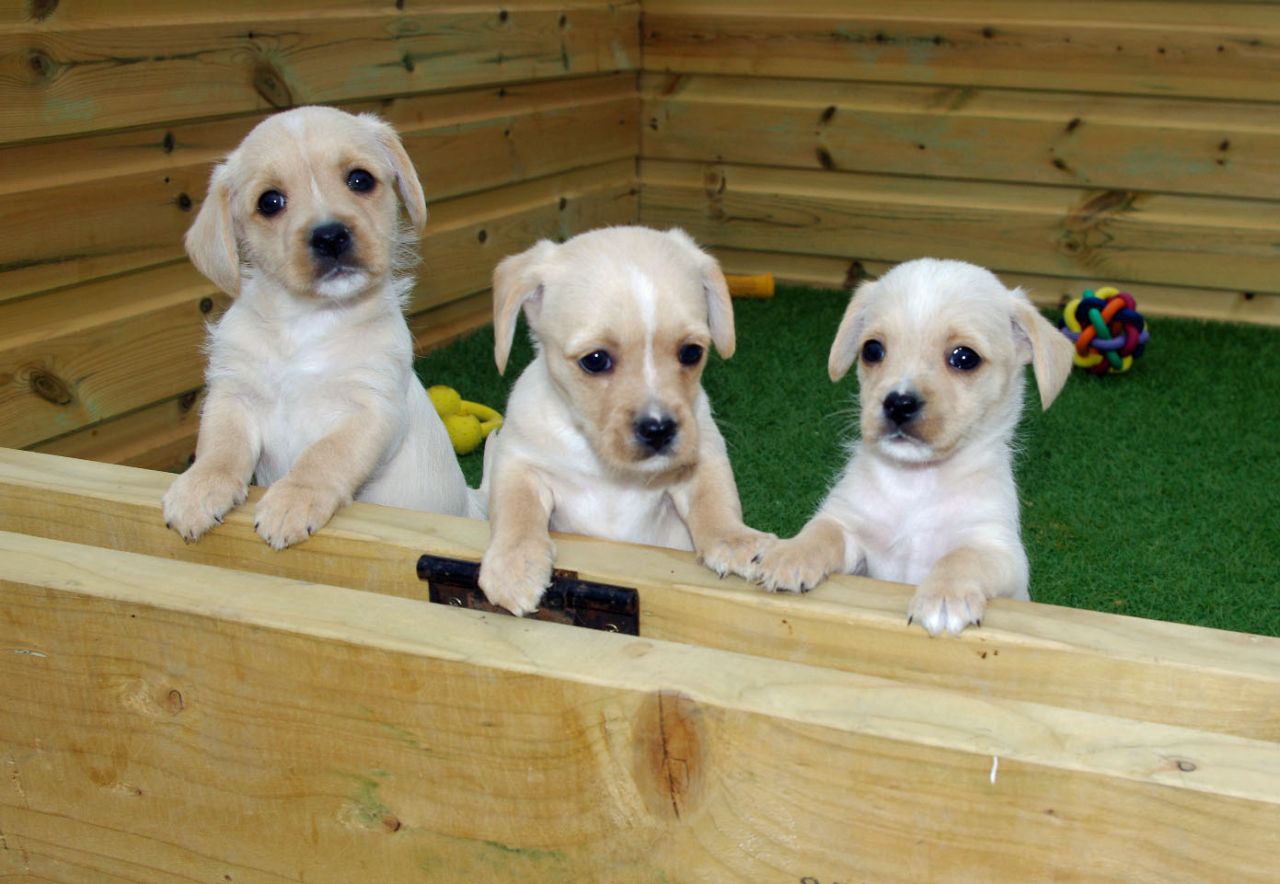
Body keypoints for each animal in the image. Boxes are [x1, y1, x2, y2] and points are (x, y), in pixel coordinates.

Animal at [163, 101, 476, 547]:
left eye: (360, 179)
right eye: (270, 201)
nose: (330, 236)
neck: (308, 321)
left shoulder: (370, 408)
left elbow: (324, 456)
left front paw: (294, 500)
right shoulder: (233, 396)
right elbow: (219, 447)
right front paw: (199, 488)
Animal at [478, 225, 768, 619]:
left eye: (692, 352)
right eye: (595, 360)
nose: (659, 429)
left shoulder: (703, 454)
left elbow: (715, 499)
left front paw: (735, 539)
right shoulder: (518, 461)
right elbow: (515, 510)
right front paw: (513, 565)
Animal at [752, 257, 1075, 637]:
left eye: (964, 357)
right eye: (872, 350)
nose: (898, 404)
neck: (915, 483)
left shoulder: (999, 551)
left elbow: (961, 557)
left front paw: (944, 595)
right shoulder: (851, 528)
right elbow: (822, 530)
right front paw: (789, 554)